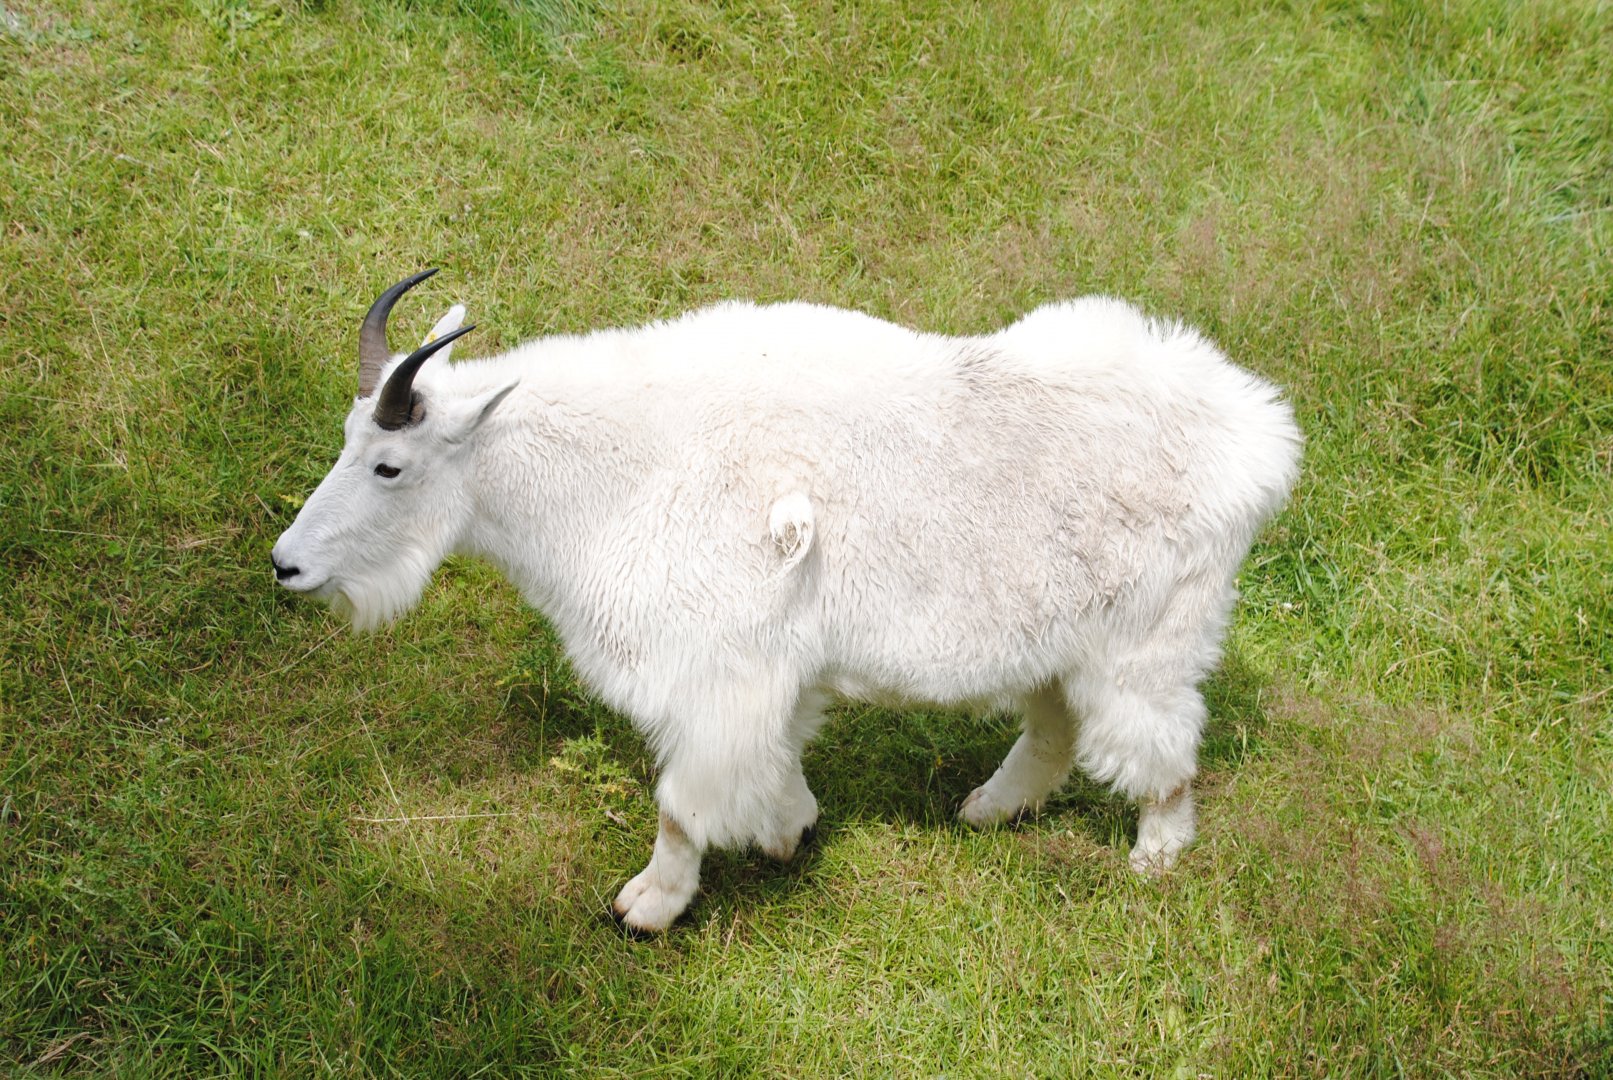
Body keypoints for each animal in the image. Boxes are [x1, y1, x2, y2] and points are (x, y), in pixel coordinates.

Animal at [272, 270, 1302, 933]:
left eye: (389, 464)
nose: (287, 566)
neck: (620, 470)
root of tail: (1256, 436)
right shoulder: (775, 673)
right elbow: (774, 768)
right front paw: (789, 830)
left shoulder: (716, 672)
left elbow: (682, 801)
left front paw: (647, 905)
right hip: (1063, 639)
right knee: (1053, 727)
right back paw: (984, 811)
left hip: (1147, 642)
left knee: (1162, 747)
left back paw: (1154, 856)